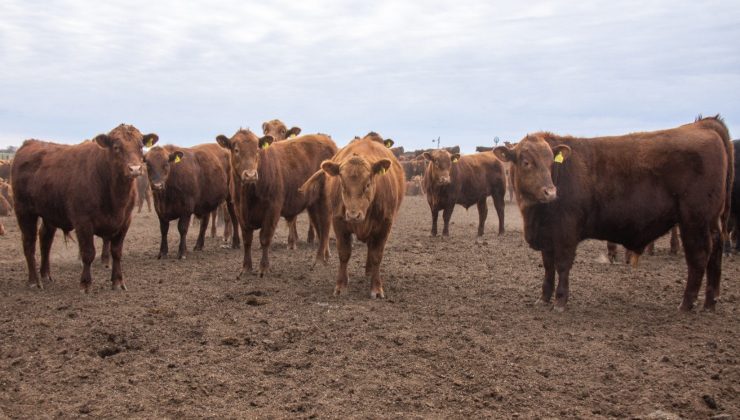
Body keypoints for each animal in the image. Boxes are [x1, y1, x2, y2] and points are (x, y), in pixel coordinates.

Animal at [10, 123, 158, 290]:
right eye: (116, 147)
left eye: (140, 146)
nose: (135, 169)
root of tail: (29, 143)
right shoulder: (83, 222)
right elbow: (88, 253)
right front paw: (85, 283)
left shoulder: (125, 221)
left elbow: (116, 252)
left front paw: (118, 281)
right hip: (24, 211)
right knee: (29, 243)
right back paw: (34, 281)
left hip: (49, 213)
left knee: (45, 240)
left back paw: (46, 274)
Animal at [215, 129, 334, 278]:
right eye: (236, 150)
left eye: (257, 150)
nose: (250, 175)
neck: (248, 195)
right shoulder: (240, 212)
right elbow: (247, 240)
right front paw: (246, 268)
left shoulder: (272, 210)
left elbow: (265, 238)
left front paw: (264, 268)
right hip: (312, 202)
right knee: (319, 227)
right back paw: (324, 257)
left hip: (325, 199)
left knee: (325, 226)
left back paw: (319, 261)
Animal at [300, 131, 404, 298]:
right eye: (342, 184)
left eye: (367, 184)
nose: (354, 216)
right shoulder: (339, 222)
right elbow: (344, 254)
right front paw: (341, 285)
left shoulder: (384, 225)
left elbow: (376, 255)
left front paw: (376, 288)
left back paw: (369, 271)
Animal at [494, 115, 732, 312]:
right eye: (526, 162)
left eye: (551, 162)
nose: (550, 192)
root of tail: (703, 125)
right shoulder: (548, 236)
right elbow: (548, 266)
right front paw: (543, 298)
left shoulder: (566, 234)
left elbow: (562, 265)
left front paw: (560, 301)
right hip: (710, 221)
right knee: (716, 250)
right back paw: (710, 302)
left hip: (694, 220)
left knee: (699, 256)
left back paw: (686, 303)